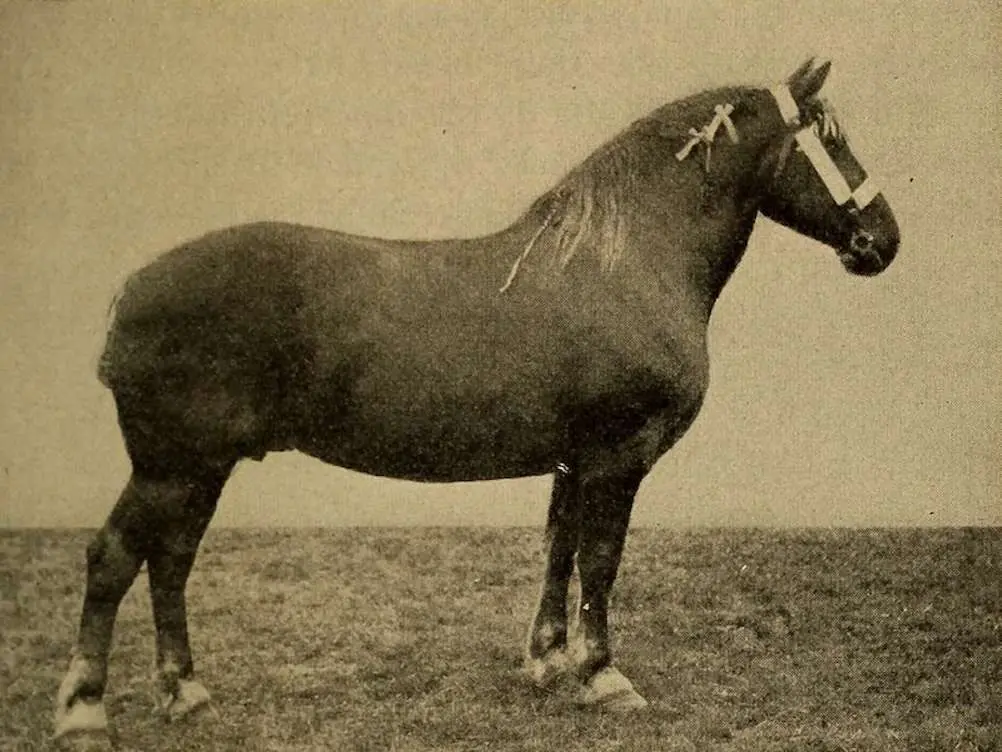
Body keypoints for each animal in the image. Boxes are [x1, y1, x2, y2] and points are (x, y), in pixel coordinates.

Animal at [52, 61, 901, 745]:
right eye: (831, 138)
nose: (885, 241)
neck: (625, 262)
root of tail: (132, 287)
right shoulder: (617, 456)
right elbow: (601, 559)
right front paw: (605, 677)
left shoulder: (573, 460)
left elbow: (559, 548)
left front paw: (548, 662)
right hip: (171, 465)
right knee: (115, 558)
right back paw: (85, 711)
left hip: (205, 466)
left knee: (171, 561)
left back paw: (185, 692)